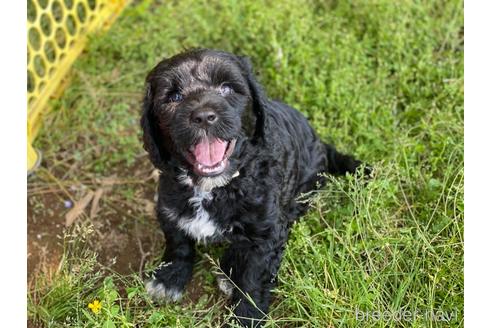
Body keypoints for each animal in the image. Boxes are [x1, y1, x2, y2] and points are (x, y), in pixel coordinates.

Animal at [140, 48, 368, 326]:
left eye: (226, 88)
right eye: (174, 96)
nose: (203, 117)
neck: (215, 187)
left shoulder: (266, 231)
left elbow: (252, 277)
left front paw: (245, 316)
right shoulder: (169, 205)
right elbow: (178, 242)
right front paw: (169, 278)